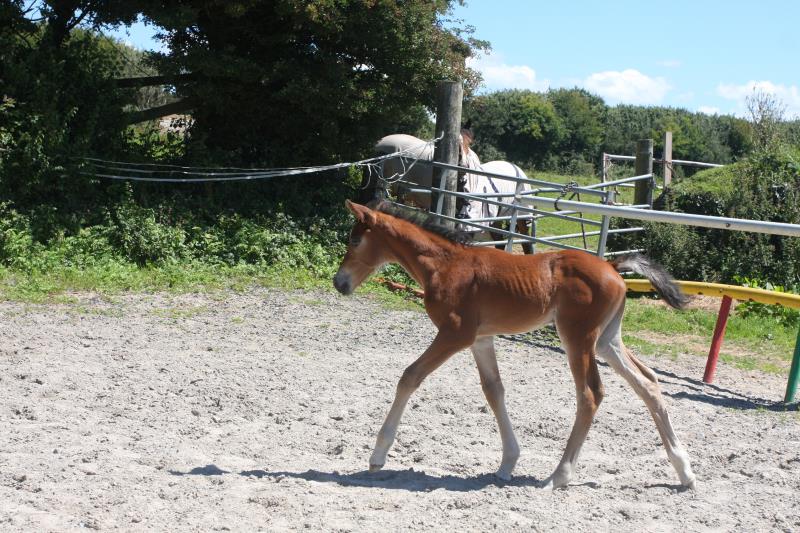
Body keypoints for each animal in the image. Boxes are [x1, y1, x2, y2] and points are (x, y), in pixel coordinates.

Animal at [332, 201, 692, 490]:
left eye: (355, 239)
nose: (339, 283)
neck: (445, 264)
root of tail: (614, 268)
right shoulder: (480, 339)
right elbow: (494, 391)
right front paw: (507, 463)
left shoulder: (455, 334)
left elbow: (410, 376)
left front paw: (377, 455)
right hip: (607, 340)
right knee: (648, 382)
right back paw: (685, 471)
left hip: (577, 337)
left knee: (591, 393)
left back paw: (559, 476)